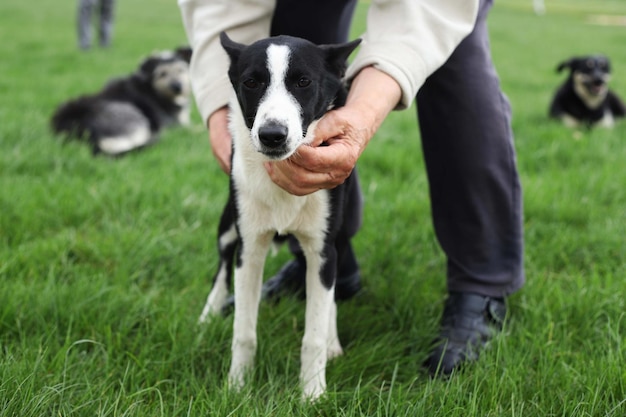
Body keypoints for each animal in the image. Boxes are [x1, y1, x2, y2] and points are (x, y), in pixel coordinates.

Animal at [51, 46, 190, 156]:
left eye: (181, 70)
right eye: (162, 74)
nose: (177, 87)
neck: (153, 89)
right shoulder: (174, 125)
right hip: (133, 117)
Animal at [197, 33, 358, 400]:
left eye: (303, 82)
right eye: (251, 82)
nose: (272, 135)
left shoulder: (322, 250)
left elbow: (313, 333)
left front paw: (312, 395)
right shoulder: (249, 249)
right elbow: (243, 332)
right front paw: (237, 387)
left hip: (343, 229)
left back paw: (333, 341)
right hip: (229, 225)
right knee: (222, 265)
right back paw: (209, 315)